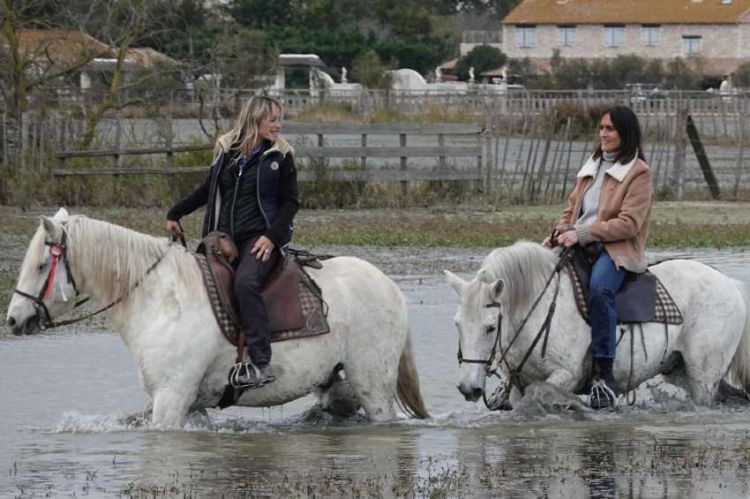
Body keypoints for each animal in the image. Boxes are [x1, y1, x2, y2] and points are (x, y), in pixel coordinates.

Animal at [5, 209, 428, 428]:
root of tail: (389, 286)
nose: (12, 320)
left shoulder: (171, 399)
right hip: (338, 386)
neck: (161, 298)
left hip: (373, 387)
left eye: (42, 265)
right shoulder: (188, 403)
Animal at [446, 242, 750, 410]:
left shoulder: (565, 375)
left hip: (703, 377)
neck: (539, 308)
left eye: (490, 327)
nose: (468, 388)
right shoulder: (520, 386)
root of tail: (730, 284)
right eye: (457, 325)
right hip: (680, 369)